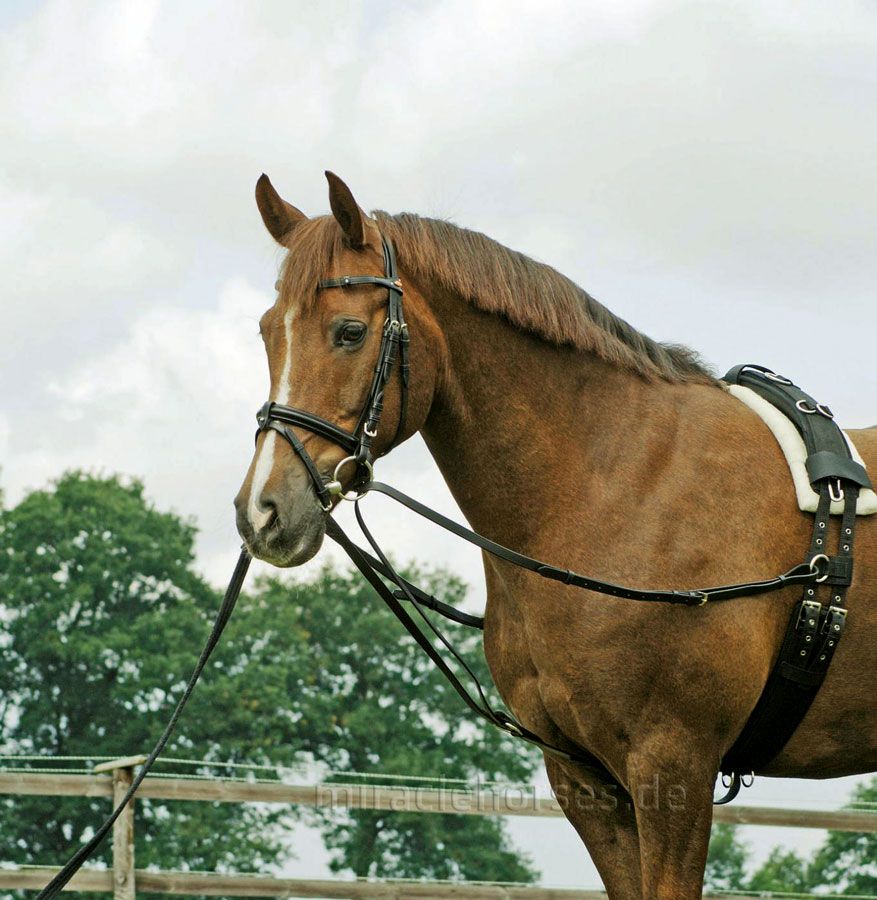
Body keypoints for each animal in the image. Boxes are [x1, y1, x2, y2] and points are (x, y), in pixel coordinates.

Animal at [234, 172, 876, 896]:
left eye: (348, 332)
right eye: (267, 332)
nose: (263, 511)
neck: (616, 487)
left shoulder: (674, 765)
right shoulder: (583, 778)